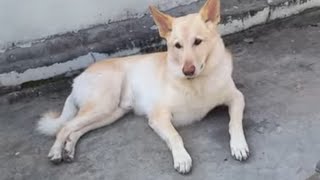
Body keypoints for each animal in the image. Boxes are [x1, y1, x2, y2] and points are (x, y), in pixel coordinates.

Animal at [37, 0, 250, 174]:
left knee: (76, 130)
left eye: (197, 41)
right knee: (65, 127)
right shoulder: (158, 116)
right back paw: (56, 151)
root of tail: (78, 78)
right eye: (177, 46)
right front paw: (182, 158)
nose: (187, 70)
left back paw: (68, 148)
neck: (198, 82)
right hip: (102, 105)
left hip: (111, 112)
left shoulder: (237, 97)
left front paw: (239, 145)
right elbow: (175, 136)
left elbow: (234, 122)